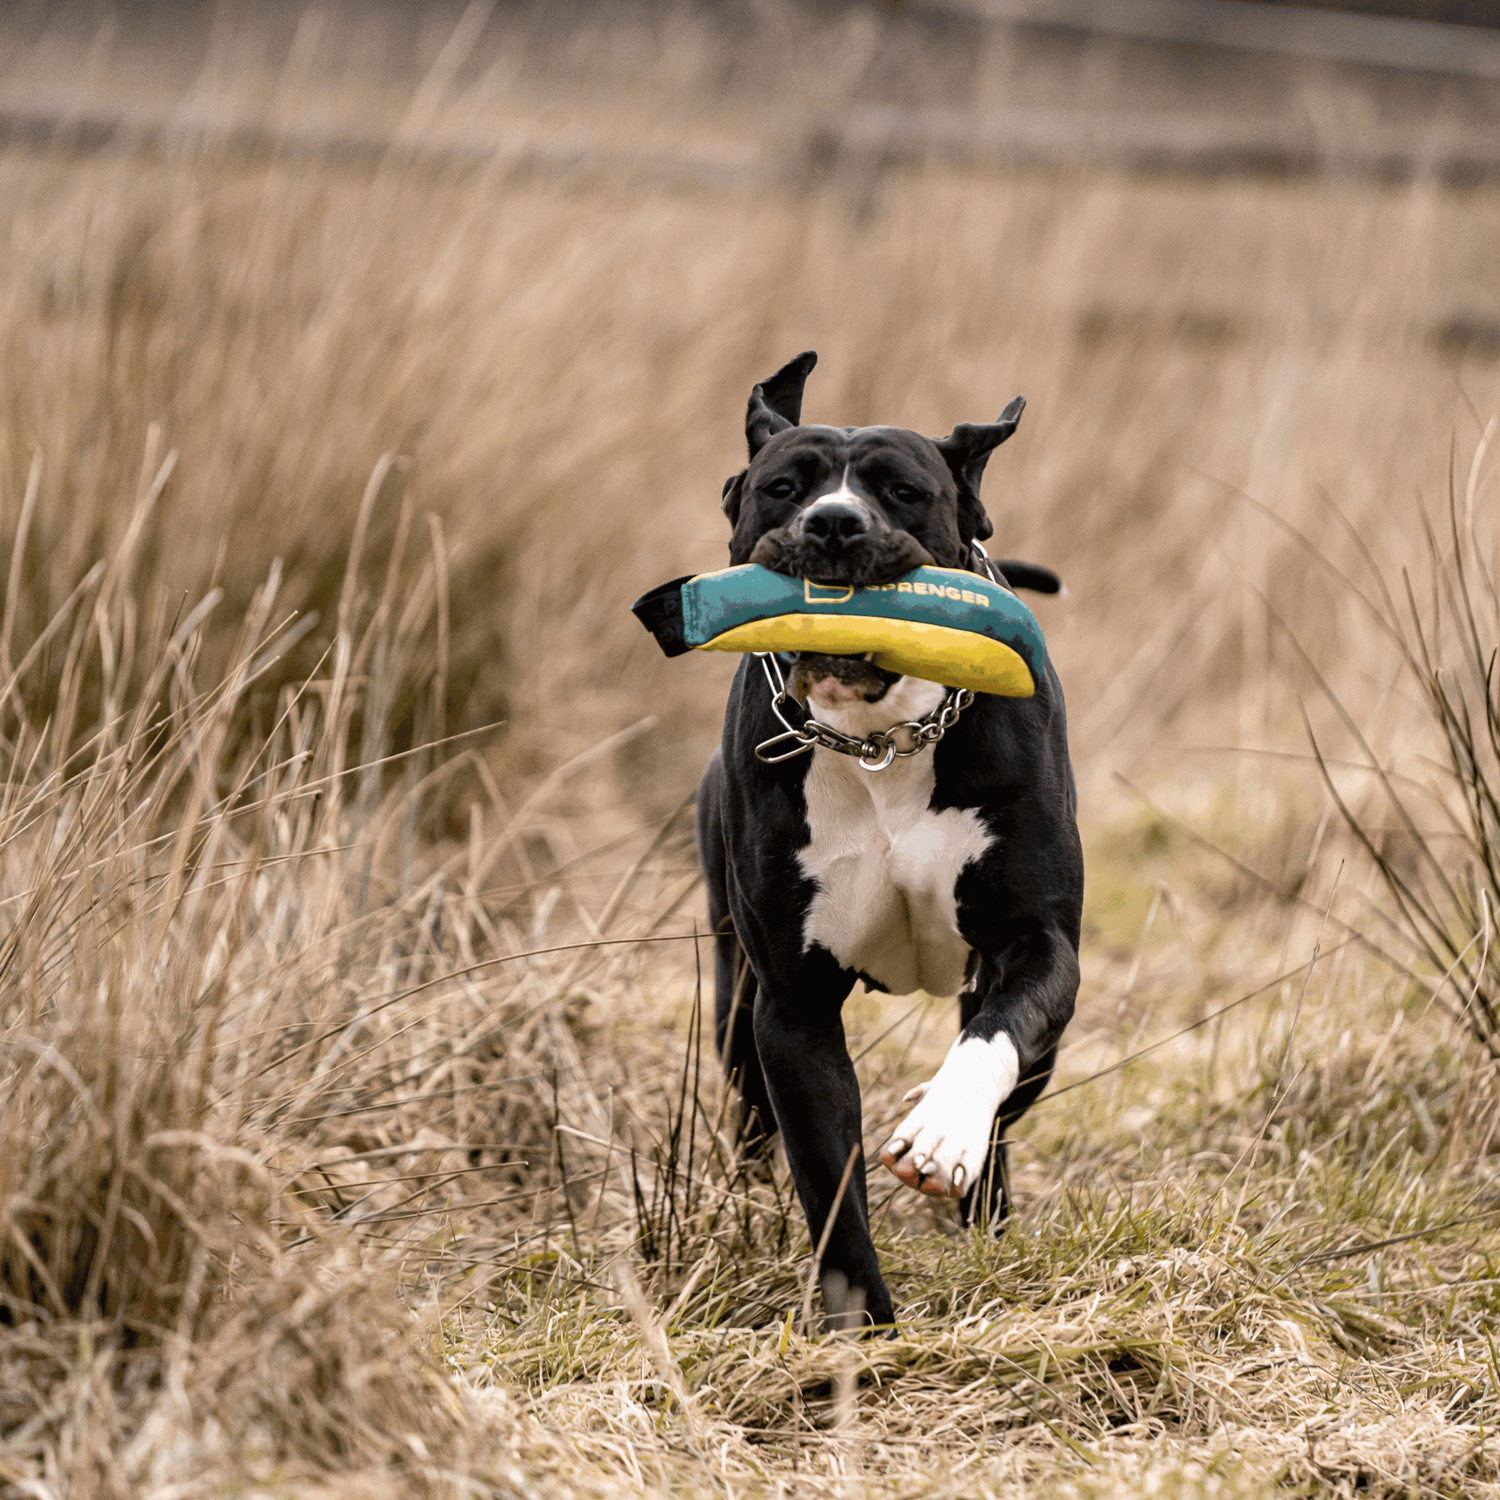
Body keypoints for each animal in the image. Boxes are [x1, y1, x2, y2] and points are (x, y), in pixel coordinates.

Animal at [696, 348, 1086, 1326]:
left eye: (904, 492)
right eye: (783, 487)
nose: (833, 523)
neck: (882, 741)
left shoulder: (1037, 943)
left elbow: (994, 1038)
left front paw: (941, 1131)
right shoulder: (790, 1008)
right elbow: (829, 1182)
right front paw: (863, 1330)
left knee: (1008, 1082)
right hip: (731, 998)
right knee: (750, 1110)